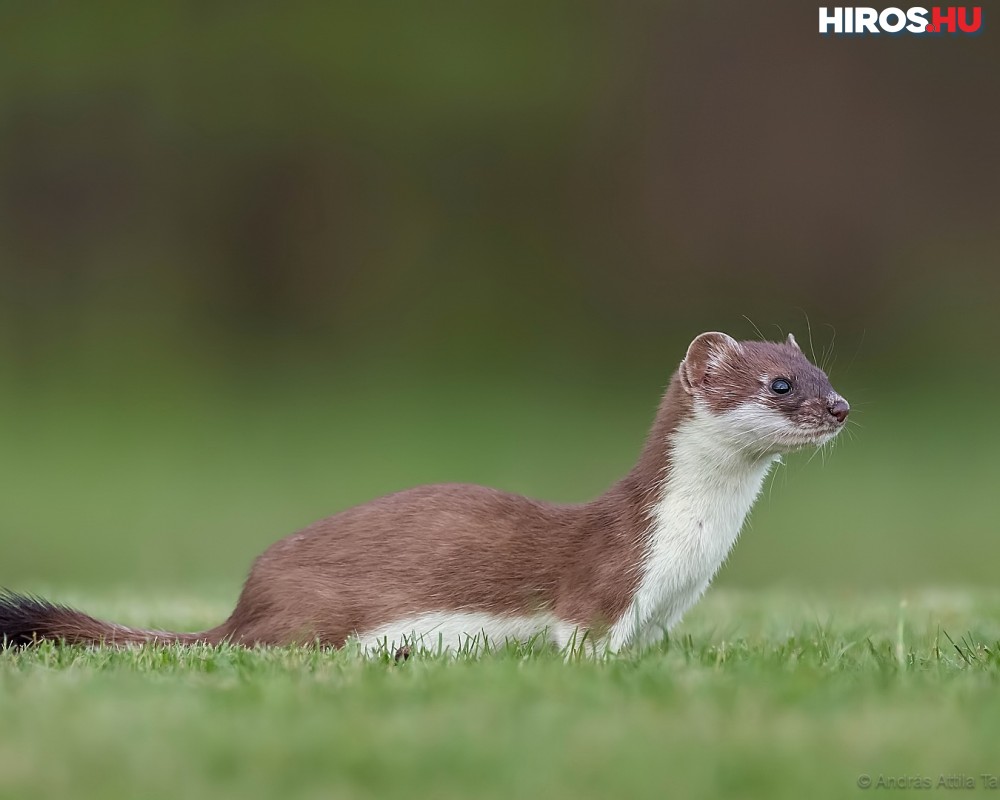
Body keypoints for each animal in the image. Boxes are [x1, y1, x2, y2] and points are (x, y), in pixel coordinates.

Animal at [0, 334, 848, 652]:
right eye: (780, 384)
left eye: (824, 370)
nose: (841, 407)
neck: (688, 556)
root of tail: (246, 602)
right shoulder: (601, 592)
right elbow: (580, 642)